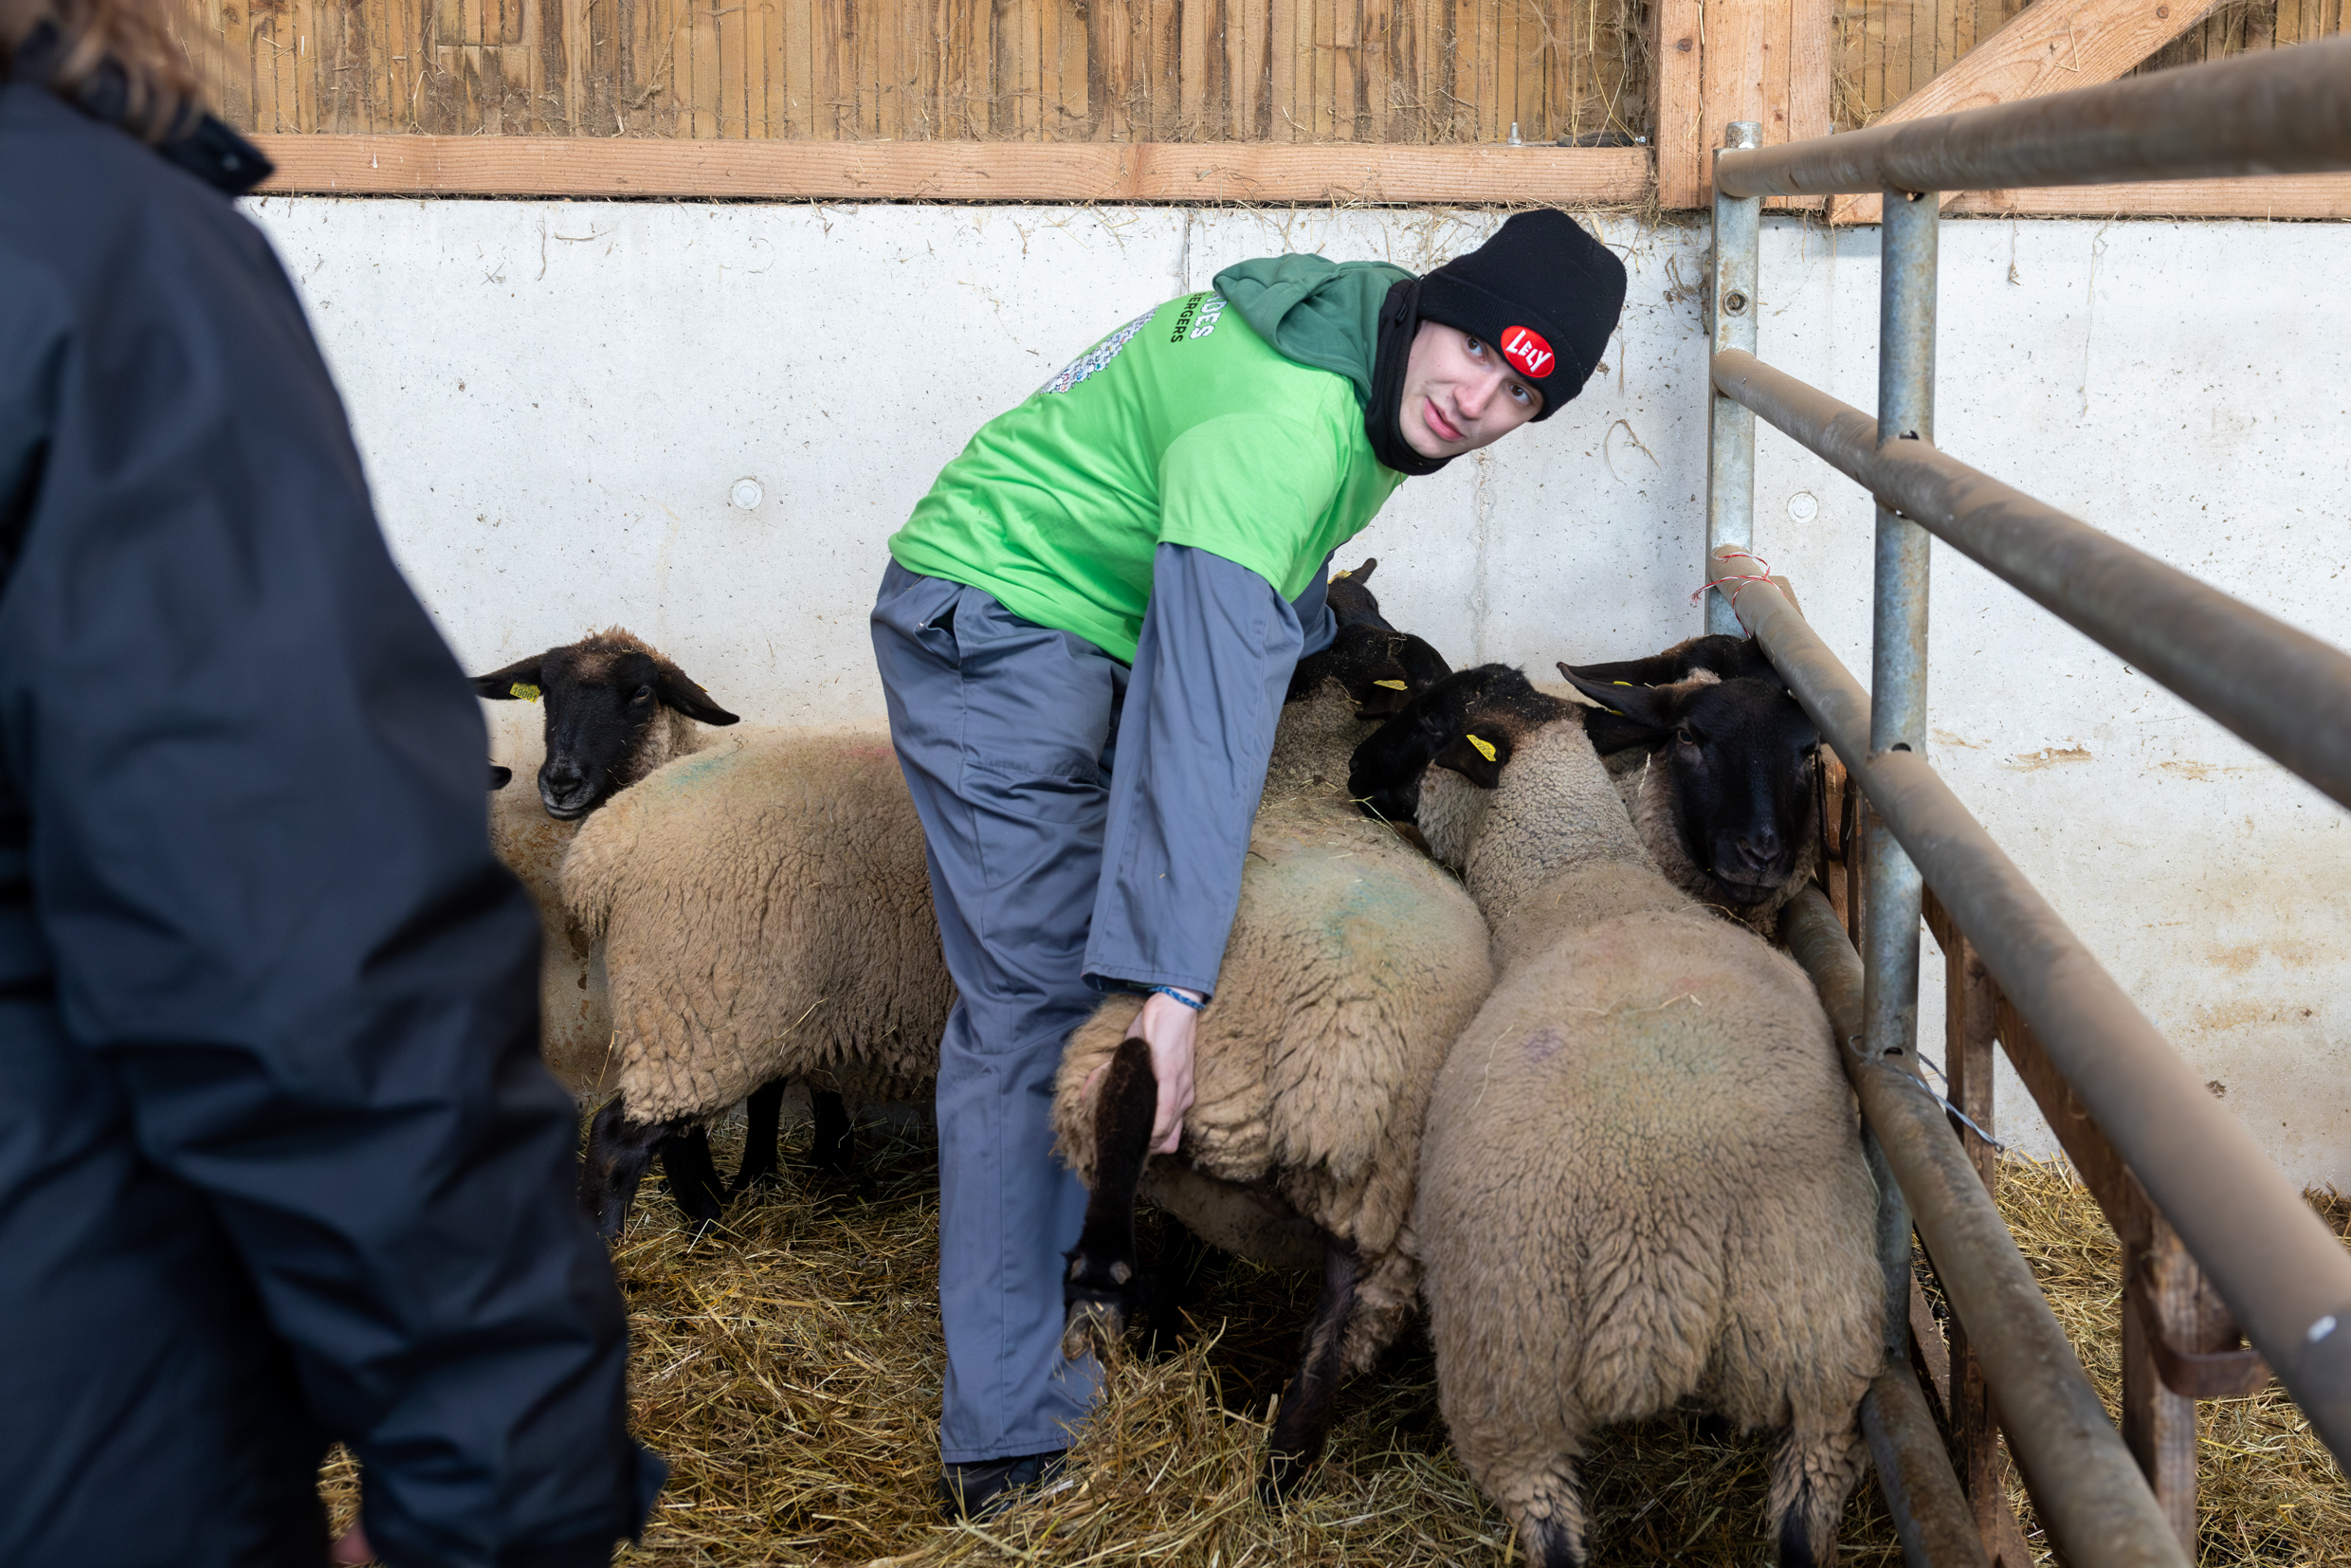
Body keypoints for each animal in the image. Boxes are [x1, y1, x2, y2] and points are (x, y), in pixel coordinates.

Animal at [1048, 620, 1485, 1504]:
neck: (1306, 771)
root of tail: (1308, 1074)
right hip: (1375, 1219)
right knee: (1319, 1369)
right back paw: (1274, 1482)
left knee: (1126, 1100)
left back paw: (1108, 1294)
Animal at [1354, 667, 1881, 1568]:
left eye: (1427, 718)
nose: (1353, 767)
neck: (1578, 875)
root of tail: (1652, 1252)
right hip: (1822, 1349)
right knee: (1807, 1504)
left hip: (1507, 1380)